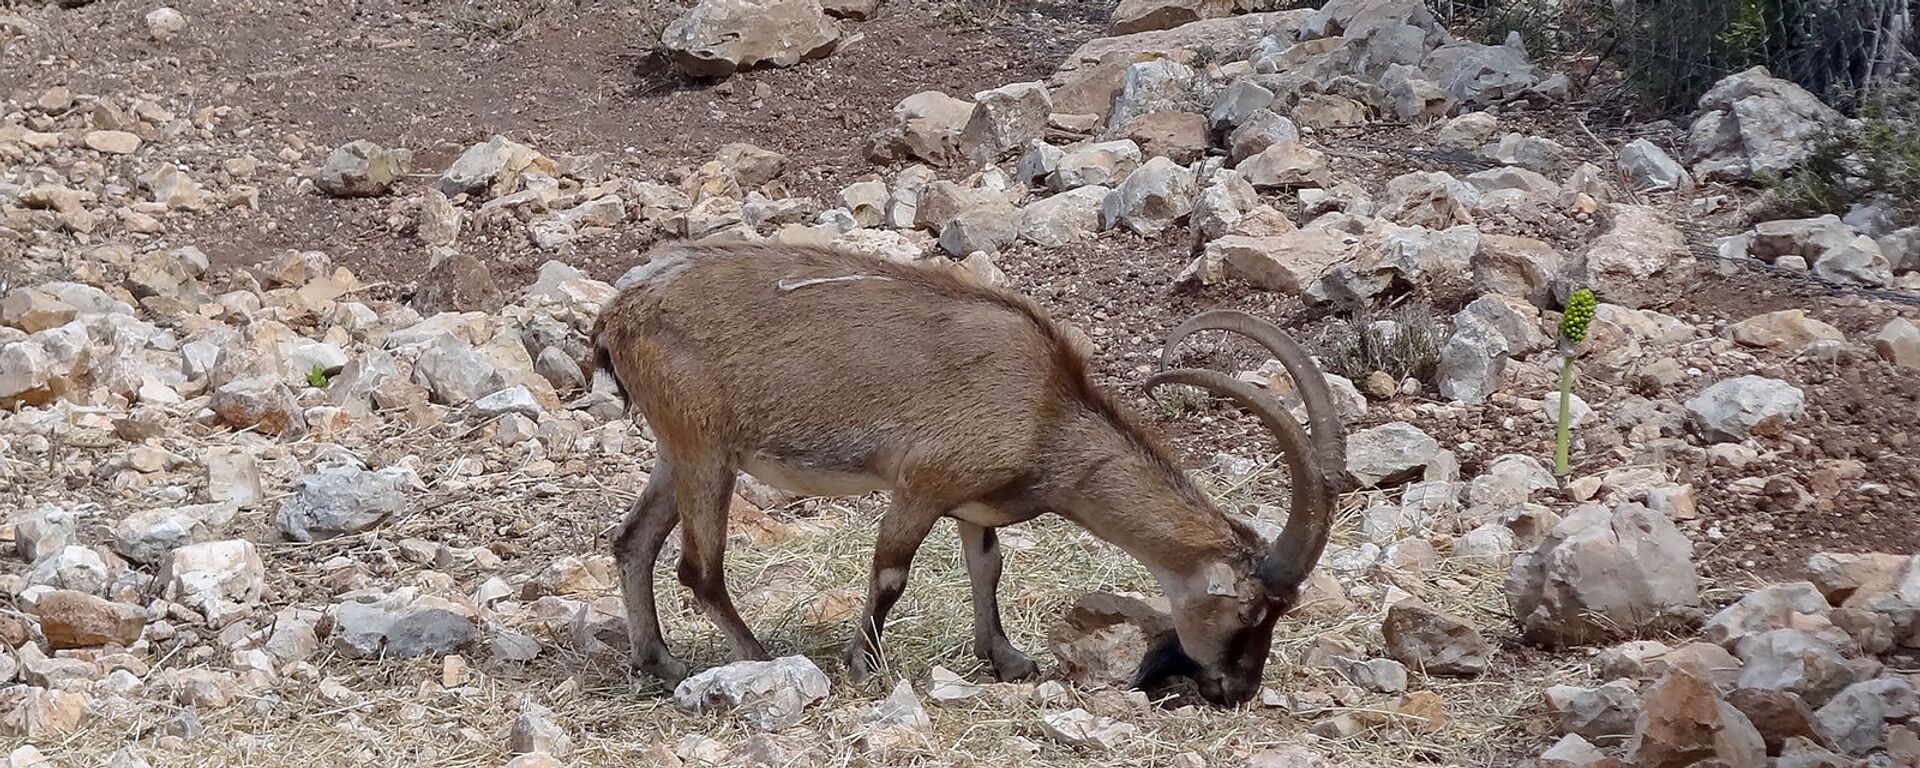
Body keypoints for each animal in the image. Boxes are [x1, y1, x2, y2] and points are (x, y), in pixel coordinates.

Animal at [591, 242, 1344, 706]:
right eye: (1250, 609)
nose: (1237, 690)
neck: (1047, 412)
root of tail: (616, 315)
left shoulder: (971, 504)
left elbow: (988, 567)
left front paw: (1007, 660)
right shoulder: (921, 484)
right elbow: (891, 574)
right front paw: (864, 665)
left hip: (676, 451)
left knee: (633, 542)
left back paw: (658, 660)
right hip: (706, 452)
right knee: (699, 568)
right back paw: (757, 657)